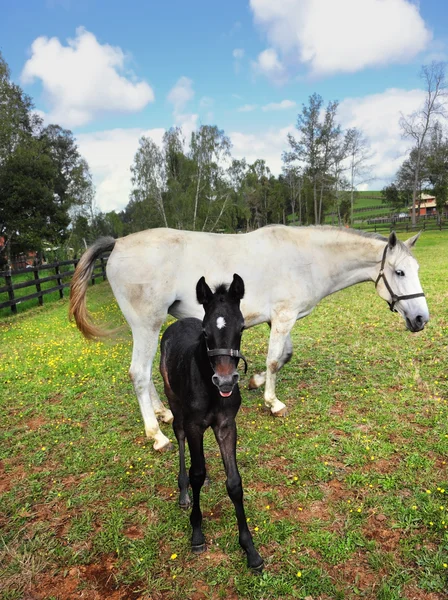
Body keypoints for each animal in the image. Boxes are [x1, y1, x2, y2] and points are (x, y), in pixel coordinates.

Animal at [68, 226, 428, 450]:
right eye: (399, 272)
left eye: (415, 270)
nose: (421, 319)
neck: (305, 257)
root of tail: (118, 243)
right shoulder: (283, 317)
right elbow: (275, 360)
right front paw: (273, 402)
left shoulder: (277, 320)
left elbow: (284, 356)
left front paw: (255, 382)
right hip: (147, 324)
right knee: (139, 375)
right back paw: (156, 435)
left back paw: (162, 413)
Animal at [159, 274, 262, 568]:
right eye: (205, 332)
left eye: (242, 327)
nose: (225, 381)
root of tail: (179, 322)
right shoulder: (194, 425)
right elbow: (197, 472)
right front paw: (196, 532)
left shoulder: (226, 425)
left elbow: (234, 482)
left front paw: (250, 549)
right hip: (174, 401)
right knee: (179, 435)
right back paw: (183, 493)